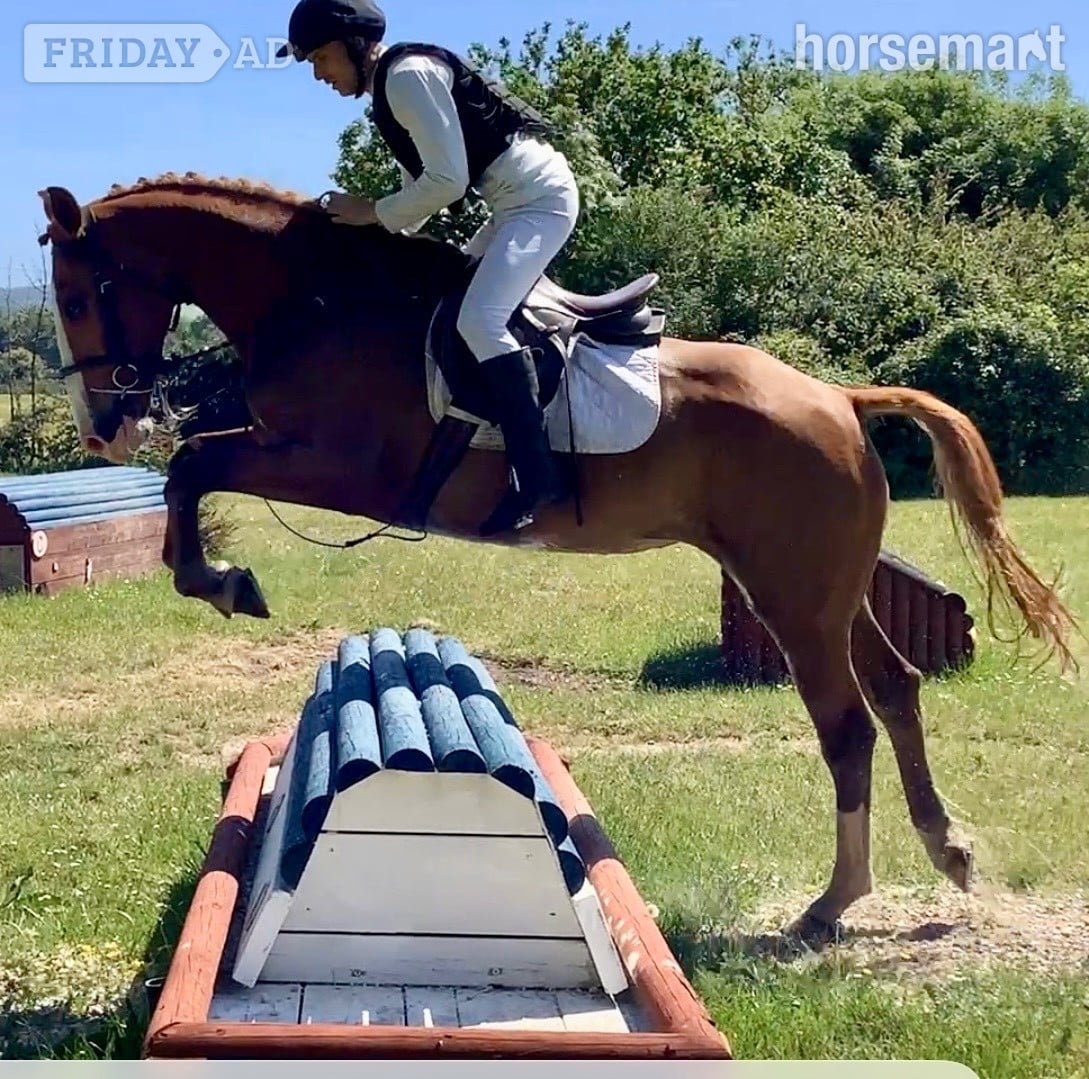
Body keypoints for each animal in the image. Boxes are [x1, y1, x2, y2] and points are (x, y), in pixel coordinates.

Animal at [36, 172, 1079, 941]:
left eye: (82, 297)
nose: (100, 429)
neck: (319, 301)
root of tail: (839, 399)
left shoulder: (338, 467)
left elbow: (191, 463)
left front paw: (221, 581)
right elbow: (190, 466)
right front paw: (220, 576)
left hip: (790, 595)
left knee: (847, 725)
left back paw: (832, 903)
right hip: (828, 589)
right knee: (898, 687)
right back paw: (946, 851)